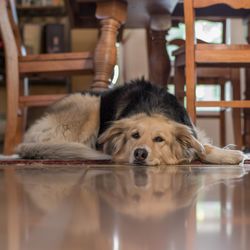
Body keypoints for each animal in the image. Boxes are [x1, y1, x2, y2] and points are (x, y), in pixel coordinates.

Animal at [16, 79, 246, 165]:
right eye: (134, 135)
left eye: (159, 139)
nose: (140, 153)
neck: (152, 106)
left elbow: (203, 146)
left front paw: (229, 154)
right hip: (90, 104)